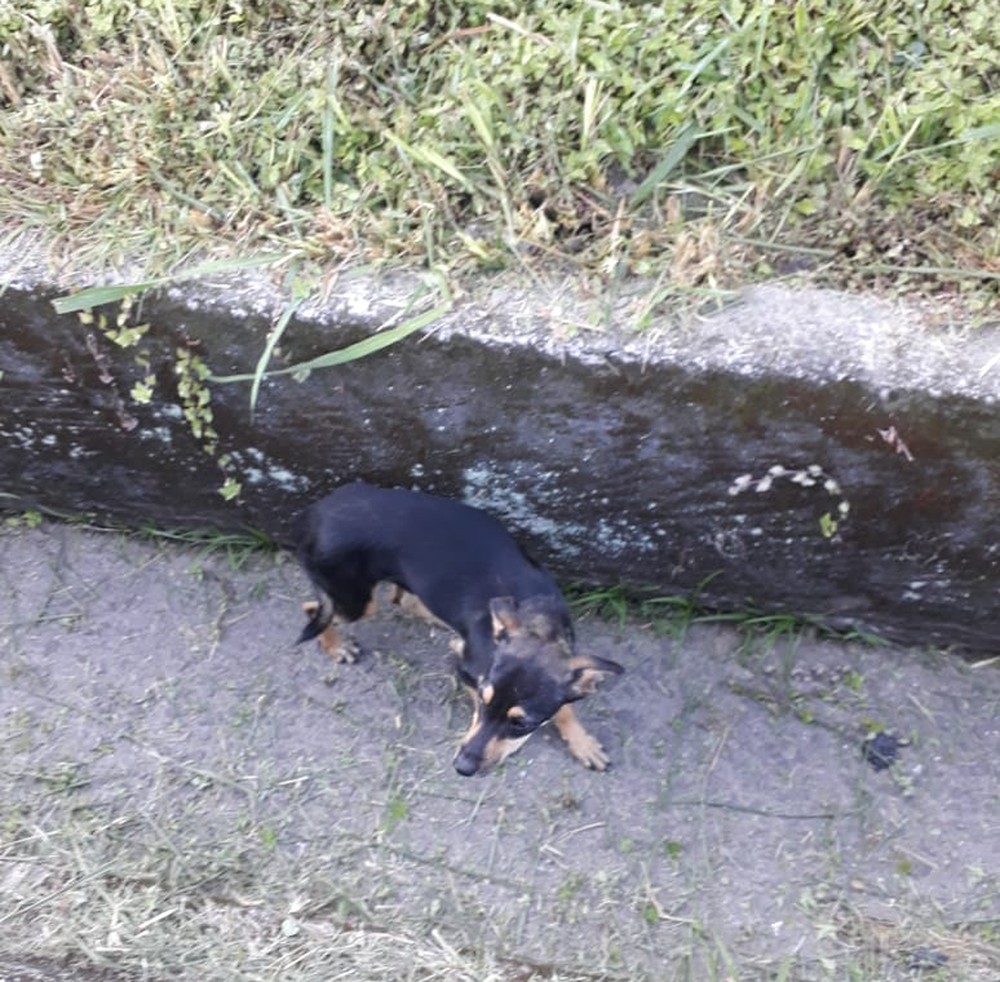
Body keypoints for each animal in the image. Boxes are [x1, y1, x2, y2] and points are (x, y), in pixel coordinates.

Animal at [296, 484, 620, 776]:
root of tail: (314, 513)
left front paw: (582, 742)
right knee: (313, 608)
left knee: (398, 600)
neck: (537, 623)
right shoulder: (468, 672)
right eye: (483, 703)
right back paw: (337, 646)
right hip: (354, 601)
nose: (462, 768)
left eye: (521, 724)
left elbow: (564, 706)